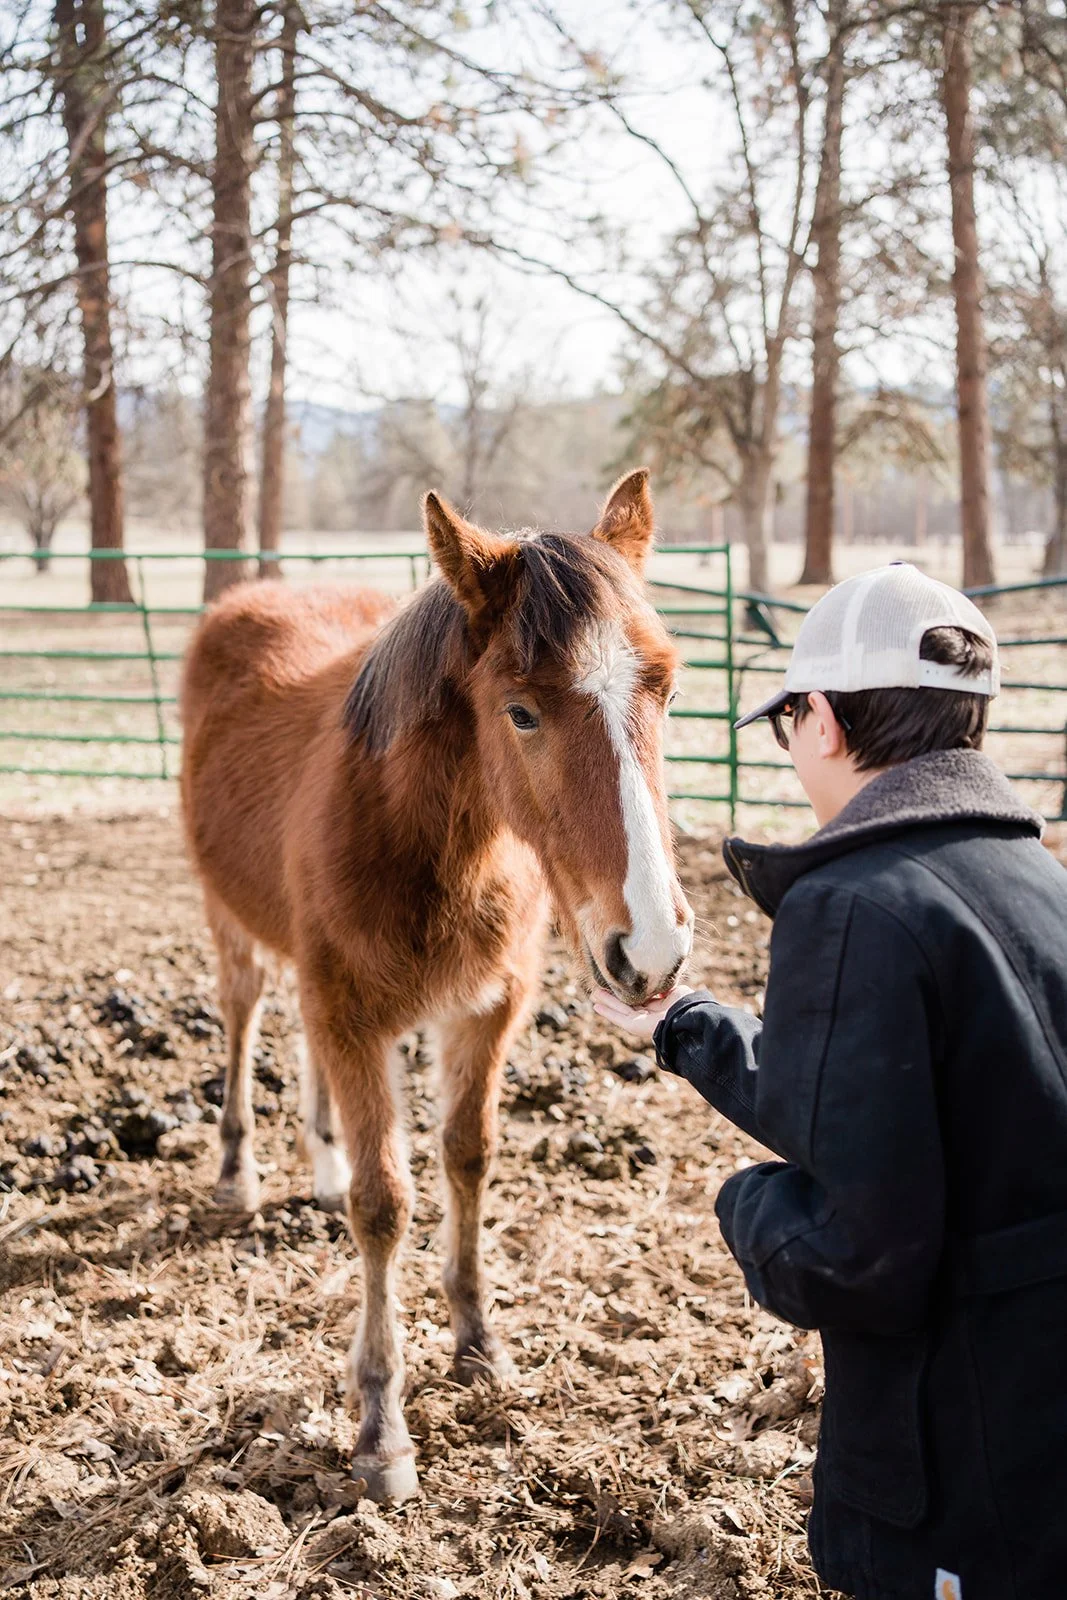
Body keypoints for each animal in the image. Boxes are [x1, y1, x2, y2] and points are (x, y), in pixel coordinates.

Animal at [179, 469, 694, 1502]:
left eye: (663, 685)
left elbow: (468, 1156)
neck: (427, 836)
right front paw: (381, 1429)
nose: (652, 948)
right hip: (235, 925)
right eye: (521, 711)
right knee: (245, 1017)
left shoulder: (484, 1012)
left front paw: (479, 1342)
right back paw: (238, 1174)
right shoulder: (354, 1015)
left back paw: (321, 1165)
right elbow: (385, 1204)